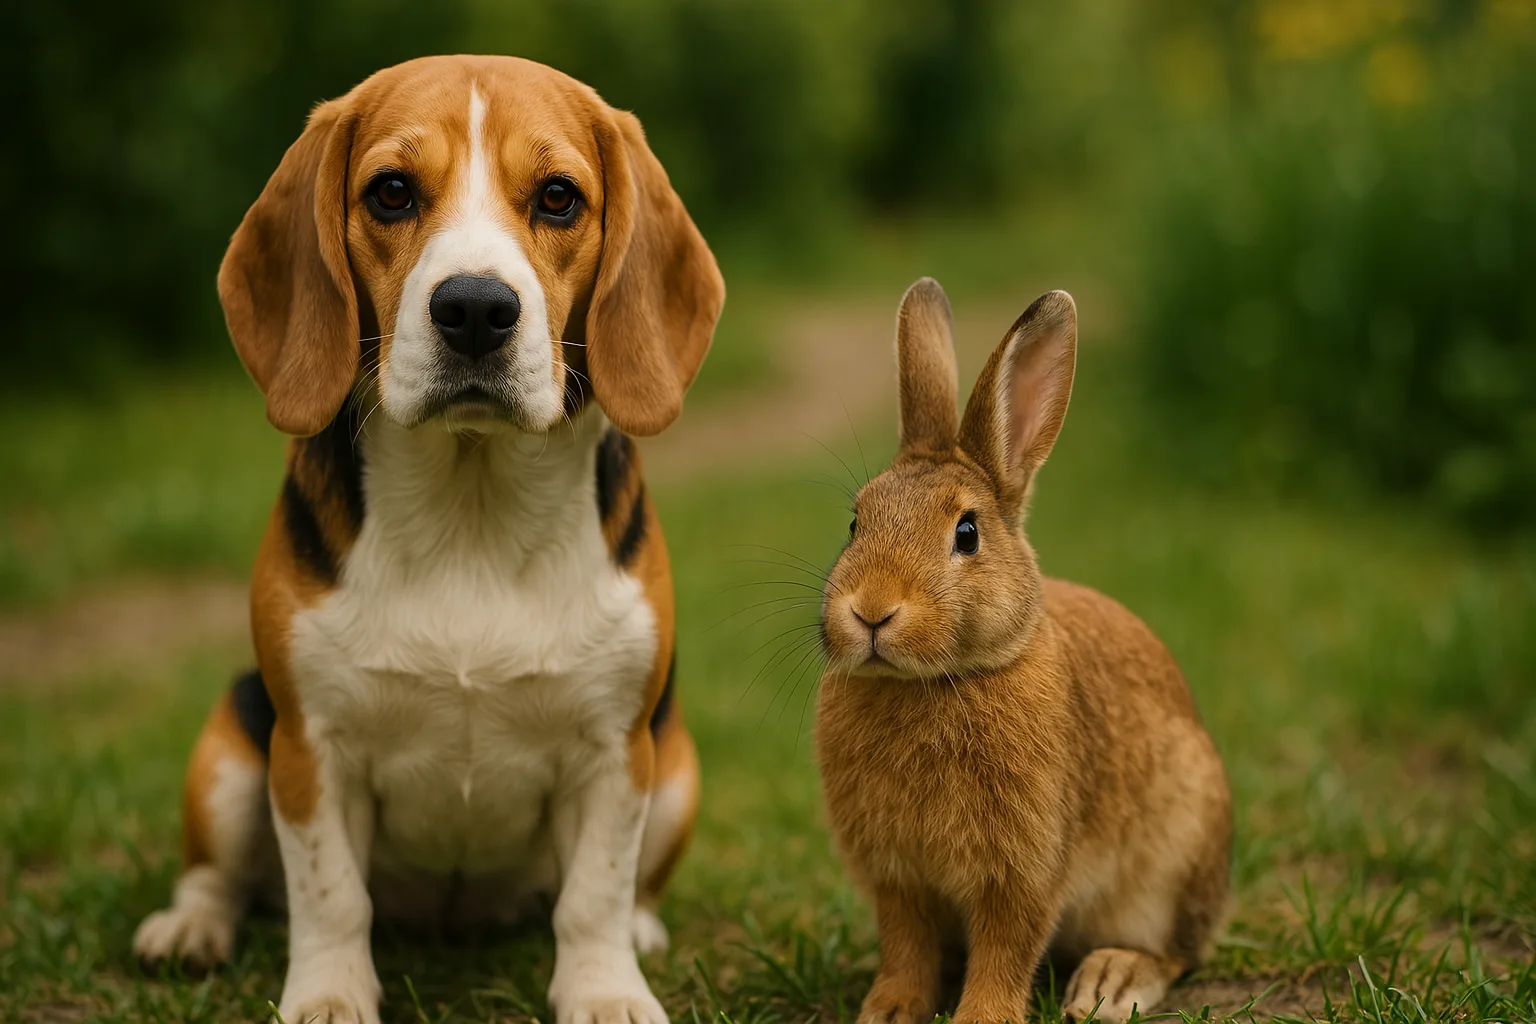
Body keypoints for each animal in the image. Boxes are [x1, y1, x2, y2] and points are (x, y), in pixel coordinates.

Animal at [815, 278, 1231, 1024]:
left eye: (968, 533)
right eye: (856, 522)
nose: (870, 611)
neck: (936, 681)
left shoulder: (1025, 870)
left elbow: (1007, 949)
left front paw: (981, 1017)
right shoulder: (897, 878)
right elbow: (906, 945)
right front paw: (889, 1010)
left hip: (1177, 860)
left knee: (1176, 952)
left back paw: (1110, 984)